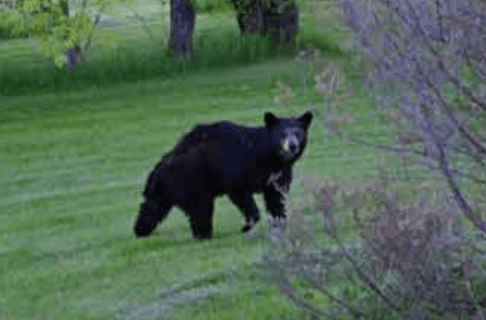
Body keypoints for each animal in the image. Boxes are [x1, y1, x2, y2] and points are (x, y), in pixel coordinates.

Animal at [135, 111, 314, 239]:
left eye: (298, 133)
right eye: (282, 134)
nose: (292, 145)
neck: (269, 156)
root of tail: (161, 165)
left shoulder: (277, 175)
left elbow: (276, 198)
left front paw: (279, 225)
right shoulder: (237, 169)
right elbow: (242, 196)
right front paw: (247, 226)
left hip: (166, 189)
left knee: (152, 207)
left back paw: (140, 230)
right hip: (192, 180)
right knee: (201, 210)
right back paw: (203, 235)